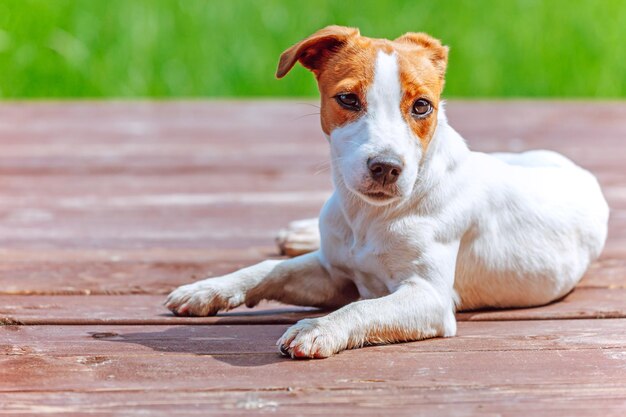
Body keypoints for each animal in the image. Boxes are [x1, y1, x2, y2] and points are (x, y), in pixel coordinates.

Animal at [163, 25, 608, 358]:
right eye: (347, 99)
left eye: (422, 106)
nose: (386, 168)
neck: (367, 216)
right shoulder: (332, 272)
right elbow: (270, 269)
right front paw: (206, 289)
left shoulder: (429, 298)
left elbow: (362, 307)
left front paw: (319, 327)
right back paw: (301, 232)